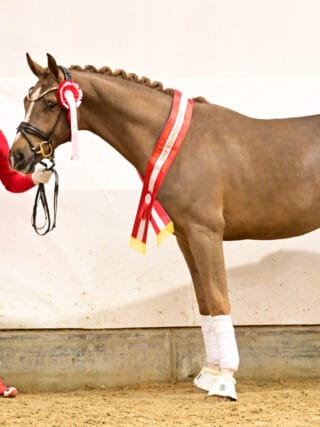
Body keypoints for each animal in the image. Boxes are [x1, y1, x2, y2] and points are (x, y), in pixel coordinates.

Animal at [9, 53, 320, 402]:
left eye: (50, 104)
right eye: (27, 100)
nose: (16, 156)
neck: (182, 145)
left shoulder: (206, 233)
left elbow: (218, 299)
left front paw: (225, 382)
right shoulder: (186, 238)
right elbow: (204, 302)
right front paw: (210, 375)